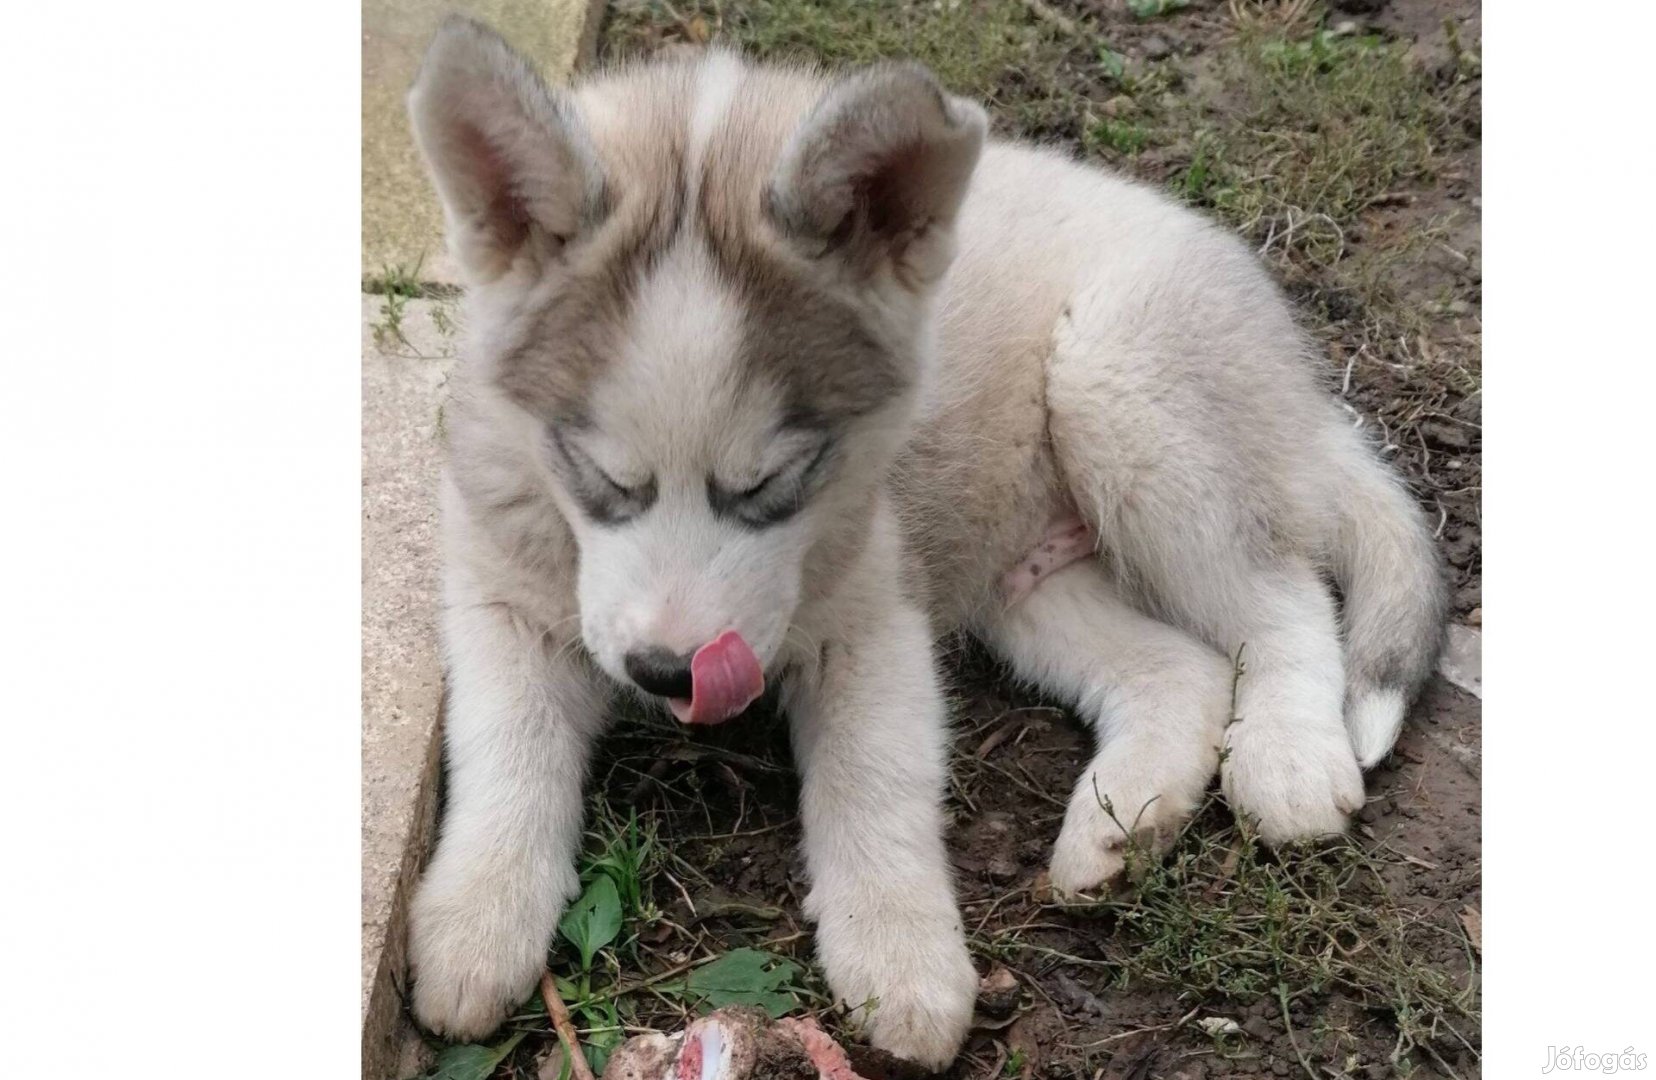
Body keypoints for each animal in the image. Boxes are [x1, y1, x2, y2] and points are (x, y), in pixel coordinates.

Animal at [404, 18, 1450, 1073]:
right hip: (1023, 576)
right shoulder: (500, 598)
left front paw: (900, 957)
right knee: (1183, 668)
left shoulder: (875, 613)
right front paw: (478, 918)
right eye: (600, 474)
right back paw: (1122, 825)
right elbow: (506, 749)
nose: (667, 672)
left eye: (773, 481)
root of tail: (1306, 401)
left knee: (1285, 598)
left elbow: (874, 781)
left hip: (1122, 390)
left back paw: (1288, 757)